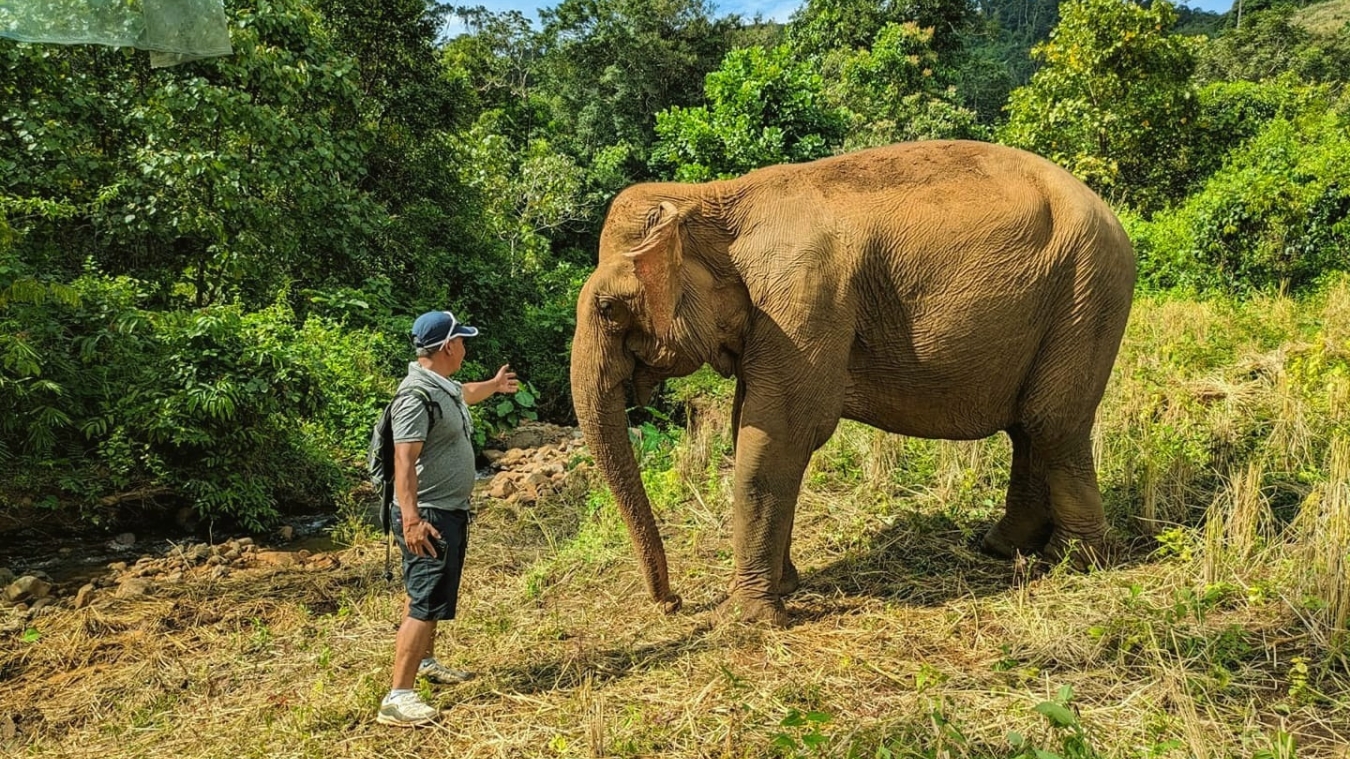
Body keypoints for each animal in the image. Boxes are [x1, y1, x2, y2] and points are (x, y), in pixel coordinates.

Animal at [570, 140, 1135, 626]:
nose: (673, 602)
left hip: (1088, 296)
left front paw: (744, 619)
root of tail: (1107, 211)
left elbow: (779, 436)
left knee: (1051, 424)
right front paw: (787, 587)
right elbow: (748, 426)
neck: (713, 197)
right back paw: (1002, 547)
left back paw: (1071, 560)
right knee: (1029, 428)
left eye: (609, 308)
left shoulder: (804, 302)